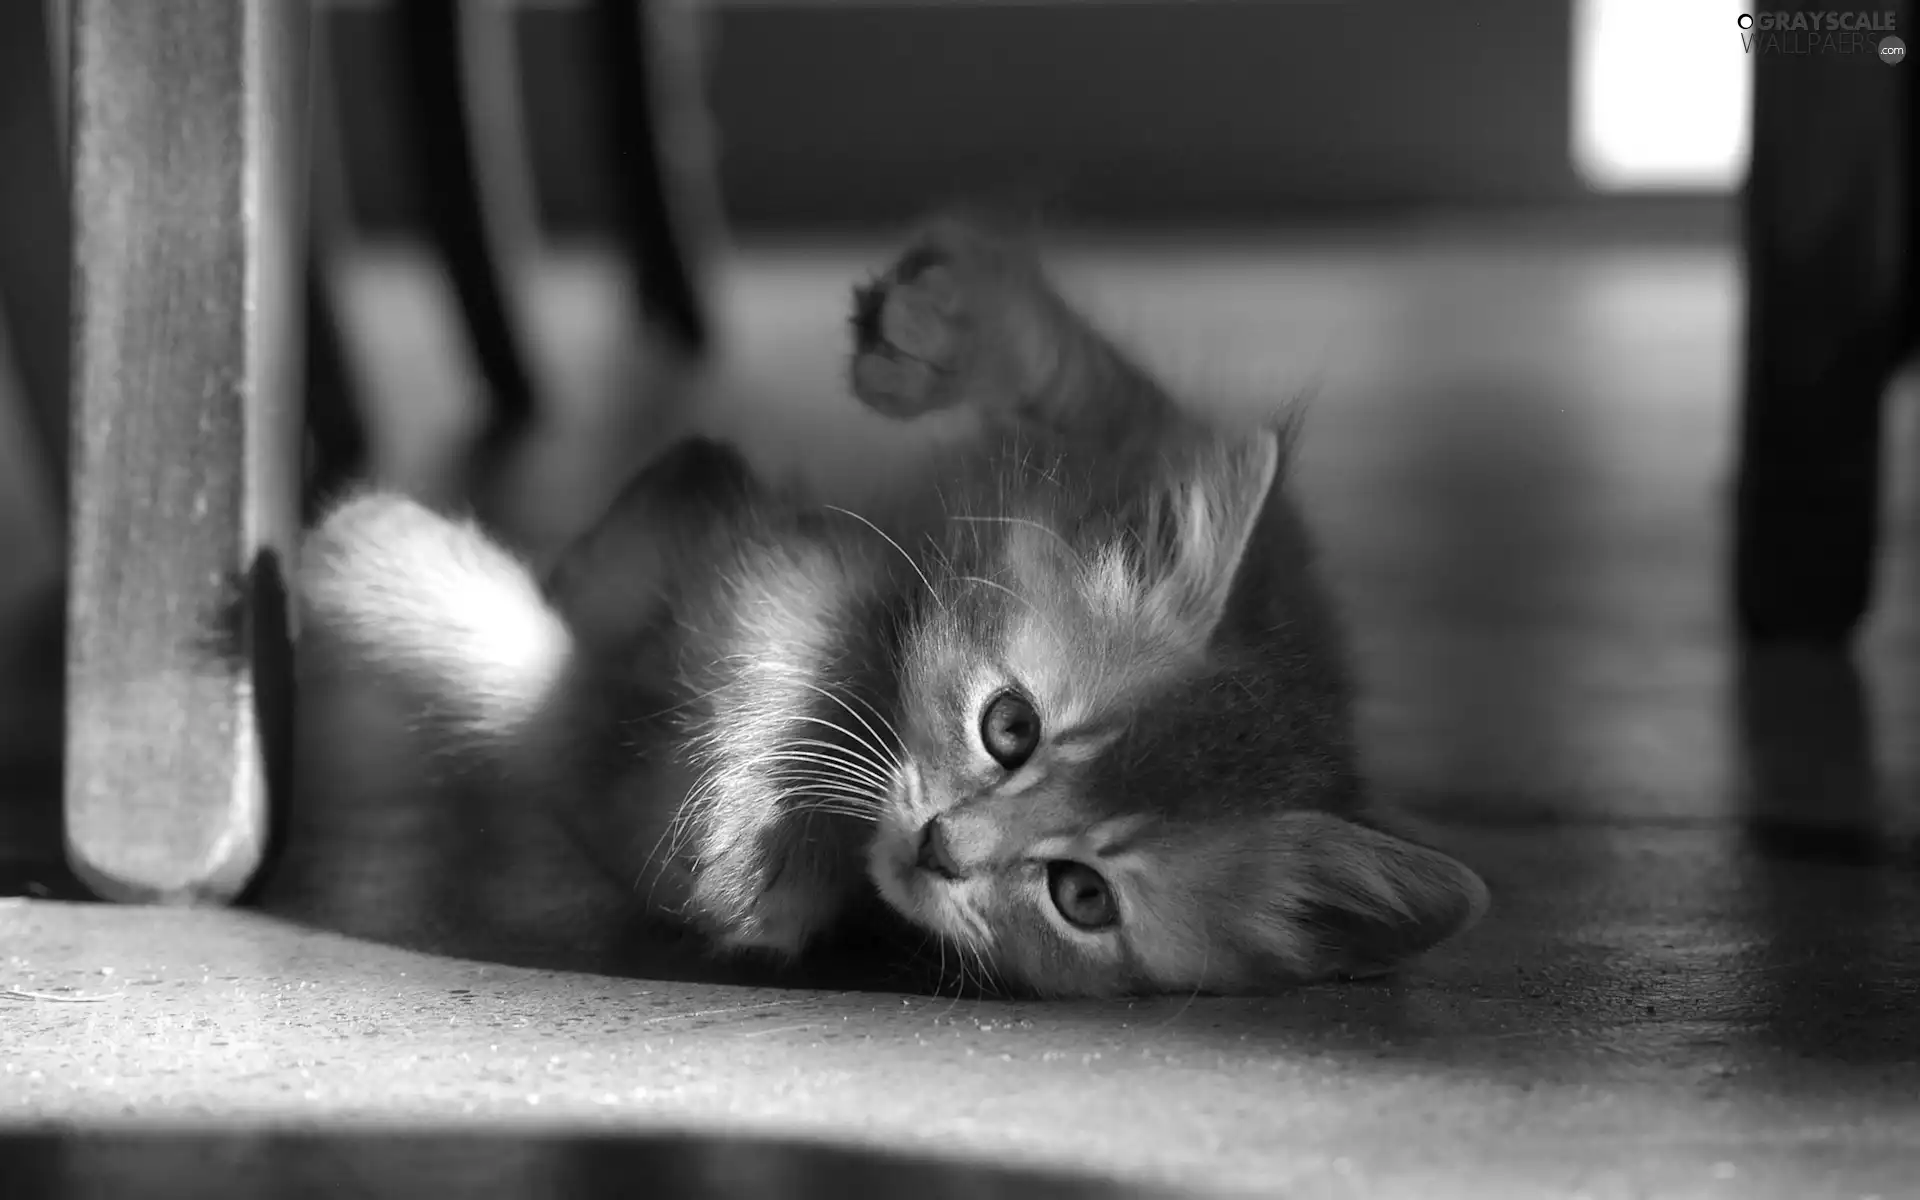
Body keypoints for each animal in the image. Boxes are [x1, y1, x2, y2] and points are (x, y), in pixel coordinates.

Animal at [295, 217, 1482, 998]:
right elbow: (1096, 390)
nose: (944, 849)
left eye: (1082, 897)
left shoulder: (626, 793)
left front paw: (364, 558)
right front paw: (942, 329)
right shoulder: (1174, 489)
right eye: (1011, 727)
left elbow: (543, 704)